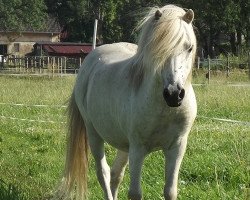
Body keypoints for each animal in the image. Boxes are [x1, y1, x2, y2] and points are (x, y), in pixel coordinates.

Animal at [56, 4, 197, 200]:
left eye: (189, 48)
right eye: (158, 49)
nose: (174, 94)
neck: (163, 109)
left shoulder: (176, 147)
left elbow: (170, 191)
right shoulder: (138, 149)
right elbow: (135, 193)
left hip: (124, 145)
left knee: (115, 174)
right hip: (94, 134)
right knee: (104, 173)